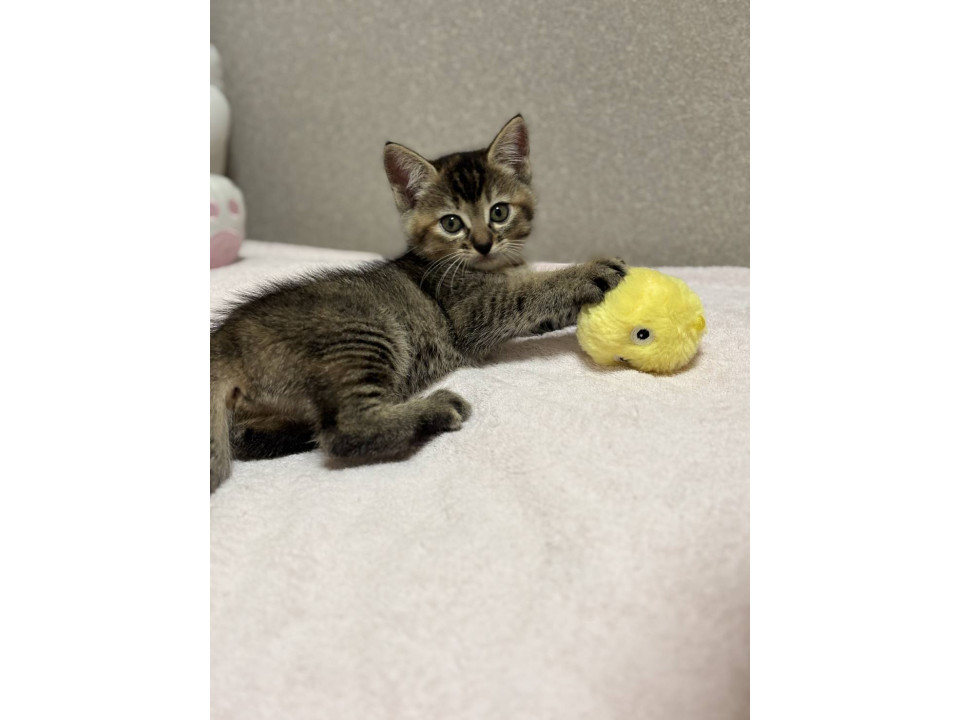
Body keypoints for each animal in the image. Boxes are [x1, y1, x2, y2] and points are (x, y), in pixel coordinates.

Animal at [210, 115, 626, 492]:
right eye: (452, 223)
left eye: (499, 212)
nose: (483, 244)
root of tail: (223, 340)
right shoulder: (475, 313)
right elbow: (533, 290)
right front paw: (588, 271)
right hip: (365, 333)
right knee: (344, 430)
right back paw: (435, 409)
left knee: (253, 438)